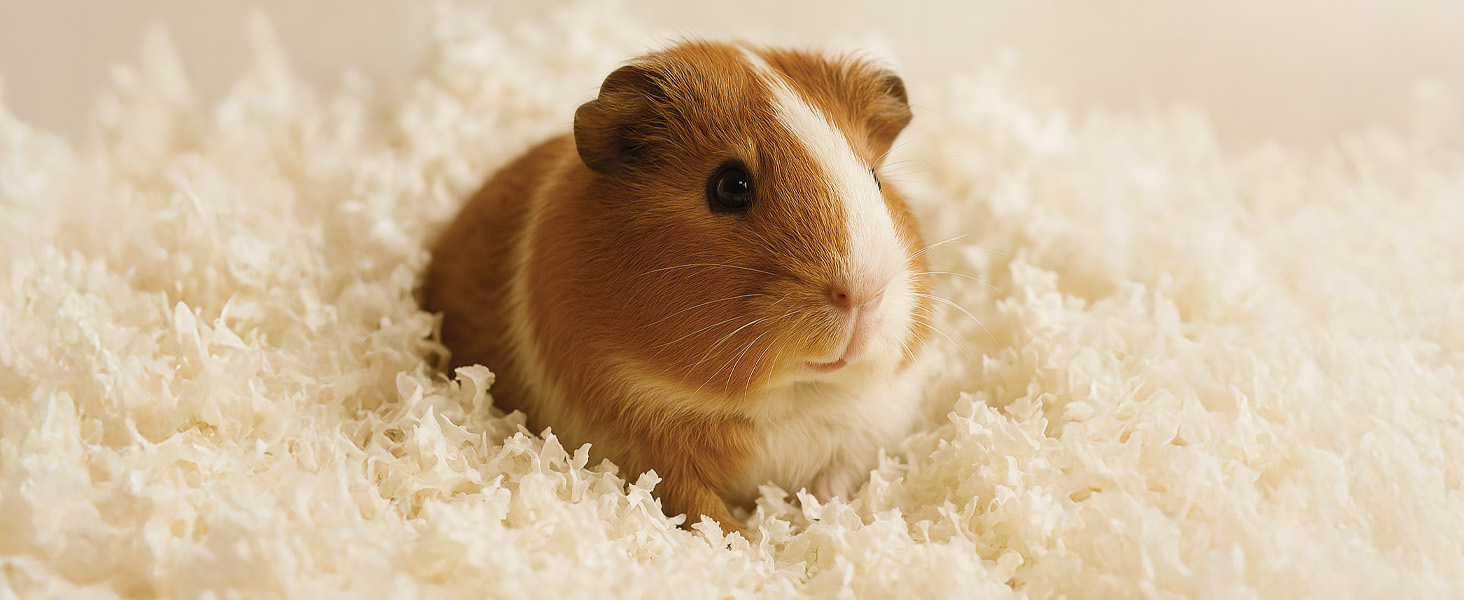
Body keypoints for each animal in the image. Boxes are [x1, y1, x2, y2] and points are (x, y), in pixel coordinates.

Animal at [423, 41, 932, 534]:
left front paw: (826, 522)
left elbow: (835, 483)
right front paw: (749, 541)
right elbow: (701, 509)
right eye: (730, 186)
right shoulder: (648, 454)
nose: (863, 294)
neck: (790, 397)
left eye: (875, 179)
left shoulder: (861, 435)